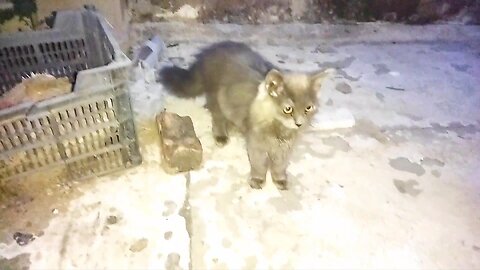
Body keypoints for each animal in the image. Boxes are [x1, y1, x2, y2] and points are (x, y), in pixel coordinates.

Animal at [159, 41, 328, 190]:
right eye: (288, 109)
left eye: (308, 108)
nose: (299, 123)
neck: (279, 130)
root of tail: (212, 50)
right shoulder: (256, 144)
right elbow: (259, 164)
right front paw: (258, 180)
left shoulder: (285, 148)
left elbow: (280, 166)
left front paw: (280, 181)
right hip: (218, 99)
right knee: (217, 117)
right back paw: (221, 135)